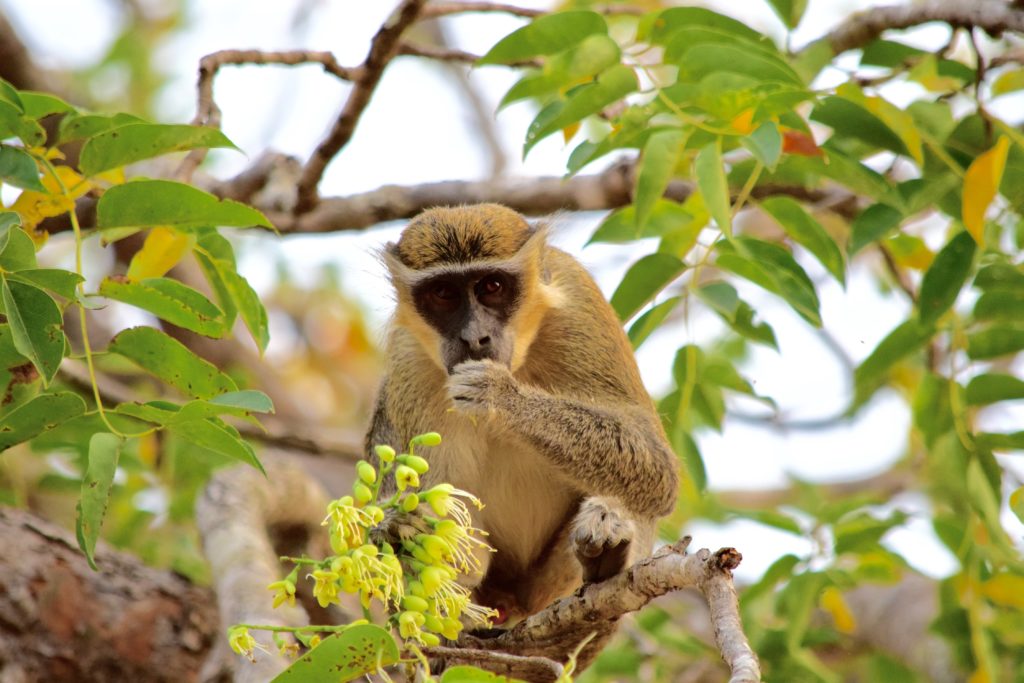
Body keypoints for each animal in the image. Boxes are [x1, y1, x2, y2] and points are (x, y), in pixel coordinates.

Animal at [368, 204, 679, 630]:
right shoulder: (408, 360)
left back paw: (606, 559)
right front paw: (395, 527)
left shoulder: (580, 305)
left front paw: (500, 396)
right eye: (443, 293)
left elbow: (657, 469)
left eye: (492, 286)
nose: (475, 338)